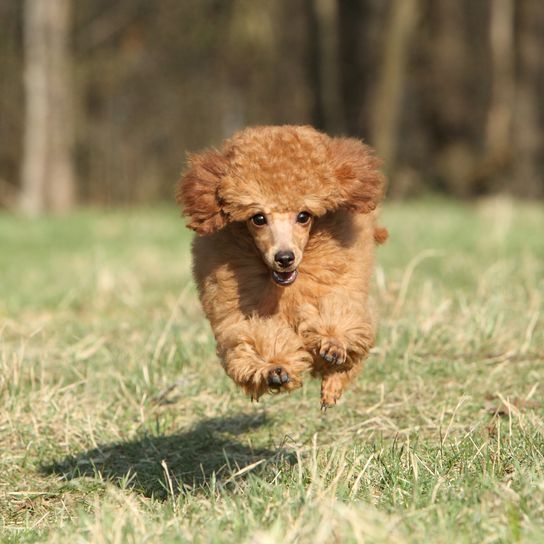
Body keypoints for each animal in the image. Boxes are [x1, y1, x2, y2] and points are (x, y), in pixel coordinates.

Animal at [177, 126, 386, 408]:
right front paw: (274, 367)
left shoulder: (342, 285)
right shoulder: (235, 312)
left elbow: (341, 317)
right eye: (258, 218)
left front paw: (332, 343)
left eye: (304, 216)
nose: (284, 258)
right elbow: (253, 337)